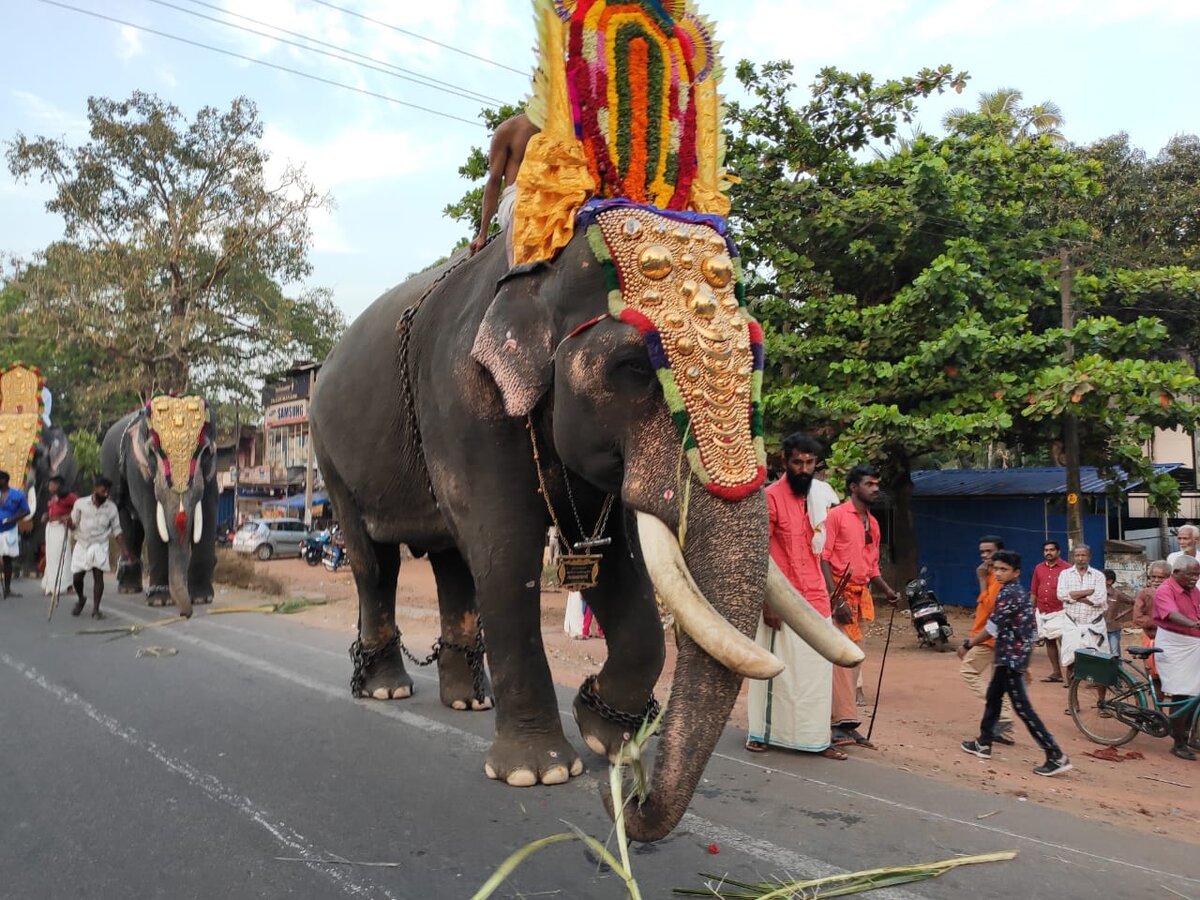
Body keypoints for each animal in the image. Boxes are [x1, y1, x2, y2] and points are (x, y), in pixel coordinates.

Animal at [100, 398, 218, 624]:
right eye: (154, 452)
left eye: (204, 451)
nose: (185, 614)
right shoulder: (139, 468)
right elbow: (154, 522)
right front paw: (160, 601)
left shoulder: (210, 474)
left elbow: (207, 517)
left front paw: (202, 598)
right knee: (127, 523)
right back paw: (129, 589)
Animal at [304, 220, 859, 844]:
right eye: (635, 368)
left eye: (756, 363)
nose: (629, 799)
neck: (542, 271)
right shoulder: (464, 402)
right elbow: (507, 553)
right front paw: (539, 772)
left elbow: (612, 561)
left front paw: (607, 737)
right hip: (328, 451)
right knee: (375, 561)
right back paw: (387, 689)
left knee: (449, 563)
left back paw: (468, 703)